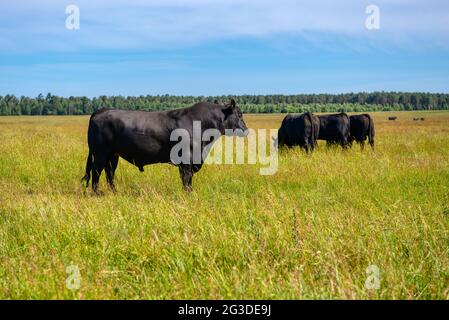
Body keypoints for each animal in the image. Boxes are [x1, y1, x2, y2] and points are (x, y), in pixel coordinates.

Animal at [81, 99, 248, 192]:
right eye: (239, 114)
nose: (246, 130)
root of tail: (100, 111)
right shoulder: (187, 160)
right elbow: (186, 179)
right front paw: (188, 194)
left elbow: (188, 180)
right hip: (100, 153)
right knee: (96, 172)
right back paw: (97, 193)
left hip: (113, 155)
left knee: (109, 173)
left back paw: (114, 192)